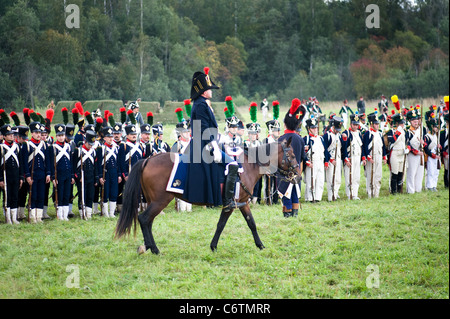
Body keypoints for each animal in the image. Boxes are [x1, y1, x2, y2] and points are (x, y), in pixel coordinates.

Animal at [114, 138, 300, 255]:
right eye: (291, 156)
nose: (298, 176)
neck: (248, 166)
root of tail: (148, 160)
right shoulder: (230, 205)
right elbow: (221, 225)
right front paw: (214, 246)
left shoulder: (243, 202)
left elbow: (251, 223)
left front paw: (260, 245)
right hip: (160, 201)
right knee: (144, 219)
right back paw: (154, 249)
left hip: (154, 202)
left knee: (147, 221)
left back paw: (149, 247)